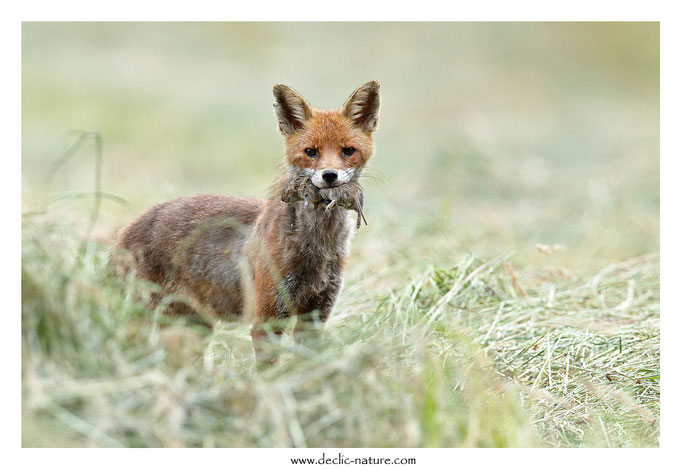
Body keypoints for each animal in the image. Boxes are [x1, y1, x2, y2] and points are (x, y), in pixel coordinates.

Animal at [111, 81, 378, 364]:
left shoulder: (315, 315)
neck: (317, 249)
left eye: (348, 151)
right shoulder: (267, 318)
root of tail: (125, 230)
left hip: (195, 327)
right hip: (147, 319)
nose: (329, 176)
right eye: (310, 152)